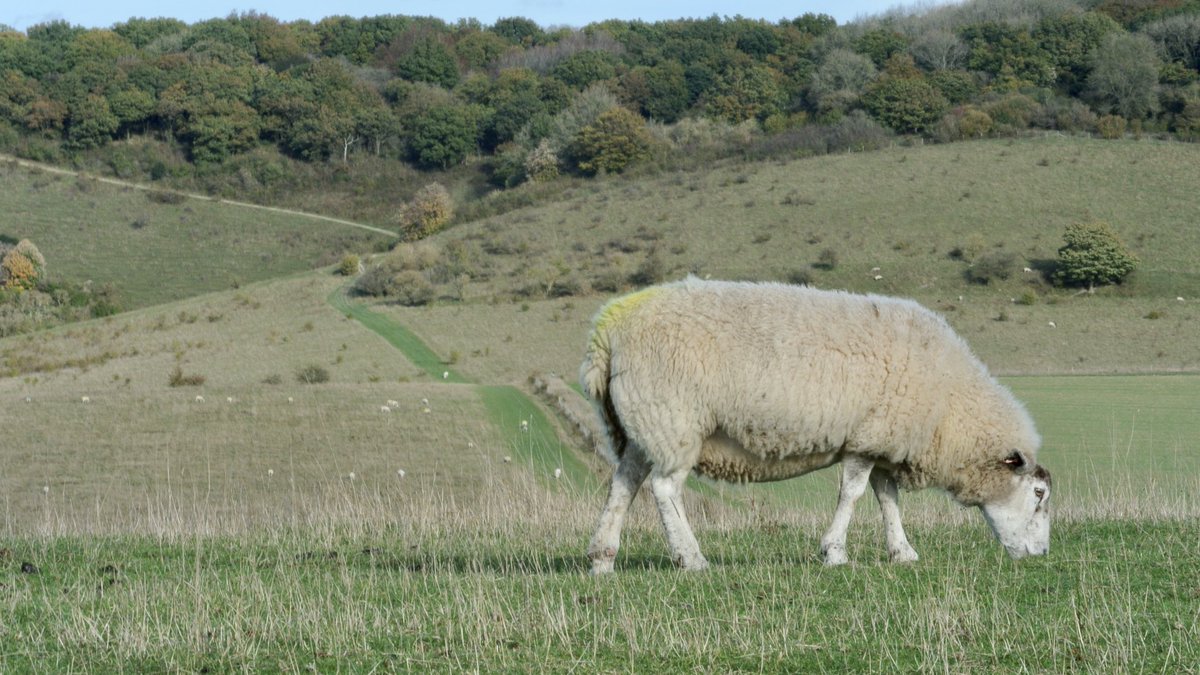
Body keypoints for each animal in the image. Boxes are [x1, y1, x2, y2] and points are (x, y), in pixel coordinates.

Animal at [580, 277, 1051, 573]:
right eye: (1039, 494)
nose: (1042, 552)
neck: (950, 407)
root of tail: (608, 329)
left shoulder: (883, 442)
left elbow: (887, 499)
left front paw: (902, 551)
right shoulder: (866, 439)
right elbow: (853, 495)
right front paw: (835, 552)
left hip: (643, 424)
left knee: (623, 485)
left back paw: (603, 558)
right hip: (674, 417)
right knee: (665, 489)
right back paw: (691, 558)